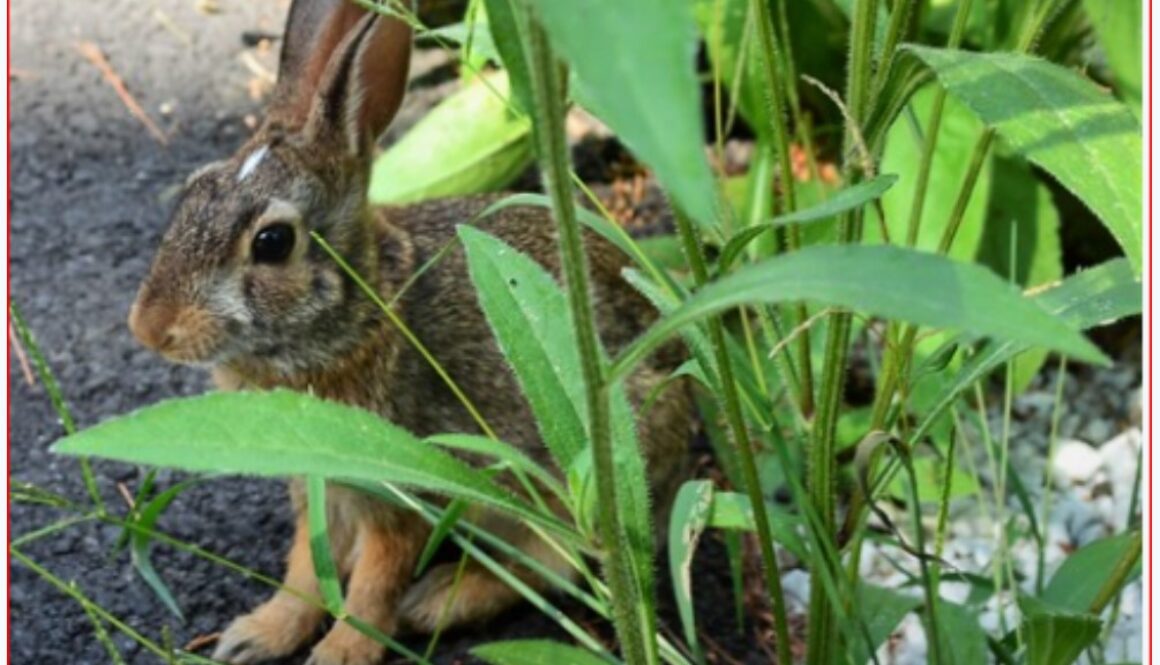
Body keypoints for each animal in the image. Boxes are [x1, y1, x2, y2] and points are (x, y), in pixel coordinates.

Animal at [127, 1, 691, 664]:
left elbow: (377, 580)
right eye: (191, 192)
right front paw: (258, 635)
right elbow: (305, 568)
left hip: (576, 486)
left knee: (552, 563)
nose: (149, 329)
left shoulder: (403, 489)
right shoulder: (319, 489)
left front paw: (342, 652)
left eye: (272, 242)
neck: (356, 318)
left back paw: (438, 601)